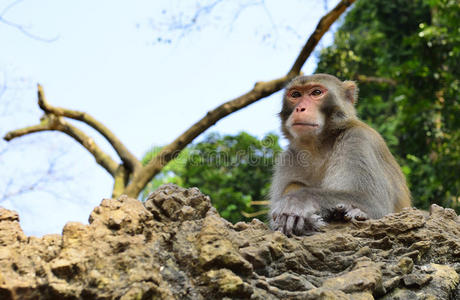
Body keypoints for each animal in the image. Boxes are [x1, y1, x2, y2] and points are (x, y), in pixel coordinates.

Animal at [268, 74, 412, 236]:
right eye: (295, 95)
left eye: (316, 92)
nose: (300, 108)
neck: (317, 146)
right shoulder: (288, 158)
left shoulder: (357, 139)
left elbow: (375, 203)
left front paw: (296, 201)